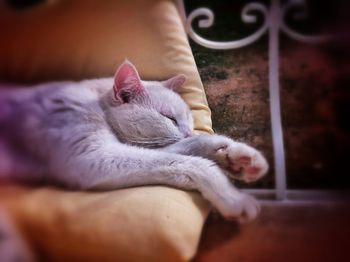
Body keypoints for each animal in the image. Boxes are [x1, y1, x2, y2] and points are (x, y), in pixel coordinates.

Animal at [0, 60, 268, 222]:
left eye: (190, 119)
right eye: (170, 118)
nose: (189, 132)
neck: (94, 101)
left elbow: (186, 149)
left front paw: (236, 157)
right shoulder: (93, 156)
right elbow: (190, 163)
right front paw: (233, 198)